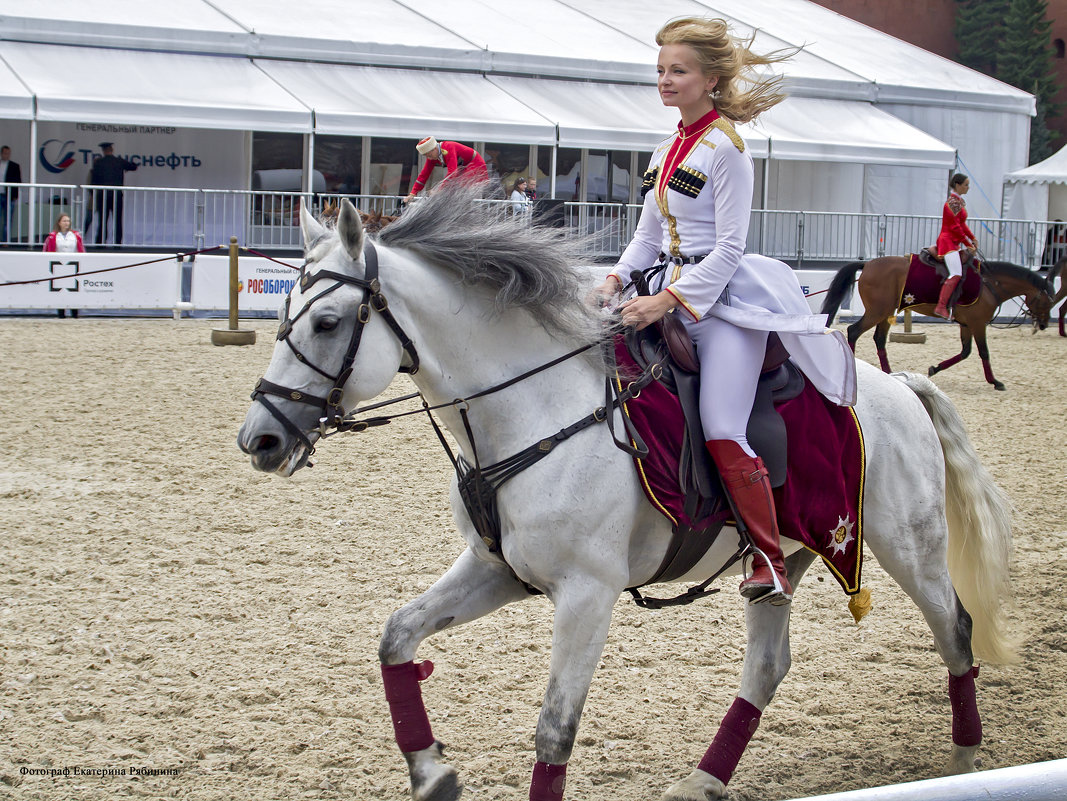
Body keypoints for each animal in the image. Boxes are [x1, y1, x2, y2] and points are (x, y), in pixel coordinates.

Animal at [240, 190, 1015, 801]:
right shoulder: (496, 570)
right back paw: (703, 780)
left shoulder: (588, 592)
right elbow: (396, 636)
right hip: (784, 557)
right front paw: (432, 774)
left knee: (954, 628)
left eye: (327, 323)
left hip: (905, 545)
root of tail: (898, 388)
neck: (534, 411)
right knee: (767, 666)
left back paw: (965, 758)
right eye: (283, 317)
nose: (260, 438)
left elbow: (554, 729)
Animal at [819, 257, 1054, 392]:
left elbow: (965, 352)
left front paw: (934, 368)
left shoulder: (966, 325)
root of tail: (867, 264)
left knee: (879, 339)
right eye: (1047, 300)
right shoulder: (978, 324)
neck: (989, 285)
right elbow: (983, 352)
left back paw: (890, 374)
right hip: (878, 311)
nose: (1043, 324)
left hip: (886, 313)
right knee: (853, 331)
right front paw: (995, 382)